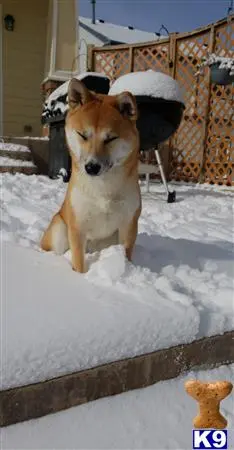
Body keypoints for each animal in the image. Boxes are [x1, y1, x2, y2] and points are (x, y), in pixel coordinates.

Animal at [40, 78, 141, 272]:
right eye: (82, 135)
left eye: (110, 138)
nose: (92, 167)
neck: (103, 189)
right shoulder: (78, 226)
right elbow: (78, 263)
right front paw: (80, 276)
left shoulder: (128, 224)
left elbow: (125, 254)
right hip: (59, 230)